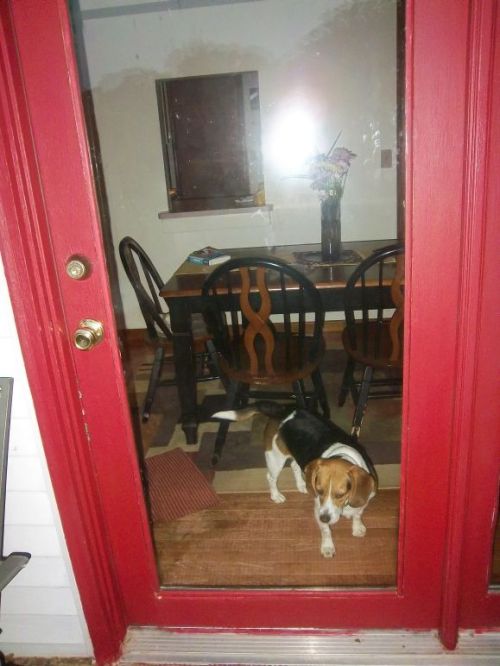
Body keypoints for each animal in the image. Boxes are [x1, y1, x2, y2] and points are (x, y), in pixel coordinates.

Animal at [212, 402, 377, 558]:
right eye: (319, 491)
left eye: (340, 494)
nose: (323, 518)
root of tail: (284, 409)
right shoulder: (318, 508)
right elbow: (326, 531)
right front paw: (327, 547)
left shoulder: (365, 499)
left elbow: (357, 514)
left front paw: (357, 527)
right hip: (275, 458)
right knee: (271, 477)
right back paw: (276, 495)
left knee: (294, 466)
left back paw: (302, 485)